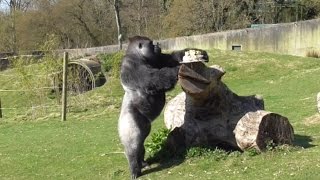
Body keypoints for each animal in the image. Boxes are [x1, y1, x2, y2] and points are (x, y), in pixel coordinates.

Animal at [119, 35, 209, 179]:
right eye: (151, 44)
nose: (157, 45)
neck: (137, 55)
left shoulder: (157, 59)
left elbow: (170, 59)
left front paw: (199, 53)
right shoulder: (133, 66)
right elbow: (155, 78)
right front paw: (178, 69)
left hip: (144, 126)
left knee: (140, 145)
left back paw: (142, 162)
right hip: (128, 122)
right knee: (133, 146)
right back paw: (134, 167)